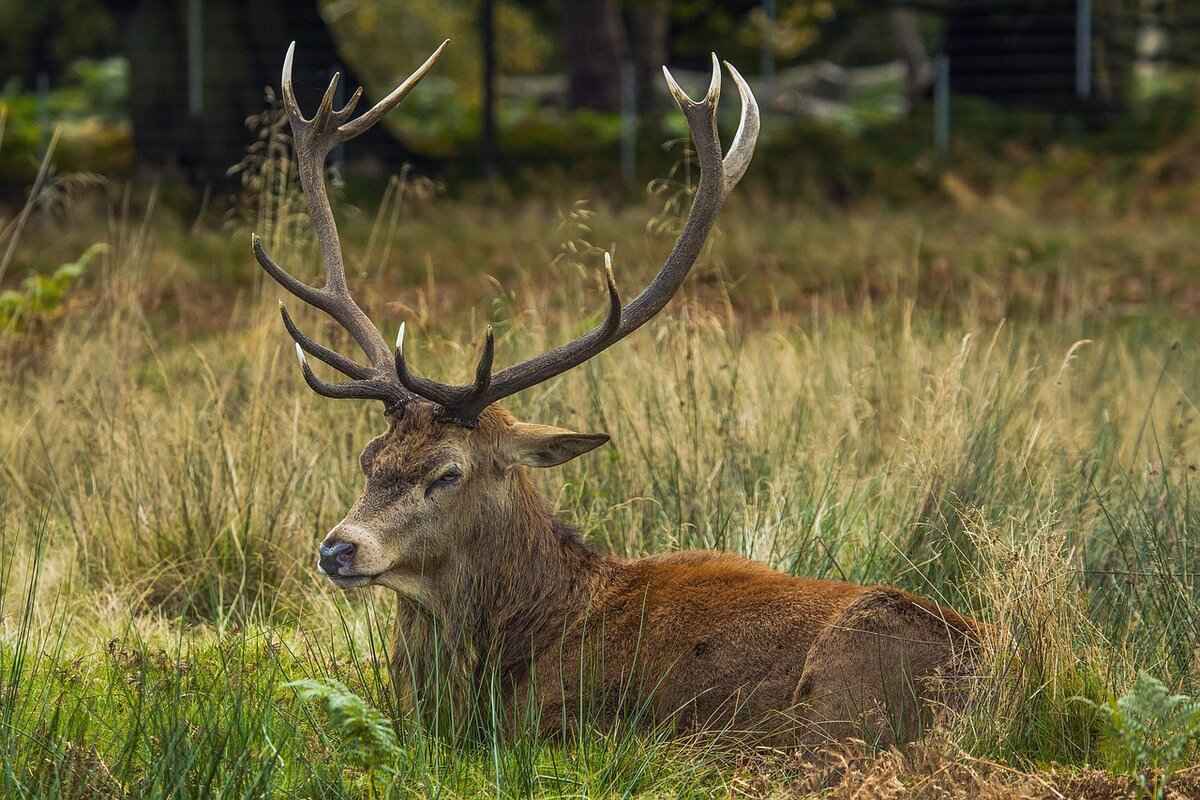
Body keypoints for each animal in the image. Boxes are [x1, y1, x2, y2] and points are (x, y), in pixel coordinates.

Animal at [254, 40, 980, 746]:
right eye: (368, 459)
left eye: (447, 472)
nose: (337, 548)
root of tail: (987, 670)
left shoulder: (565, 725)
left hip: (839, 700)